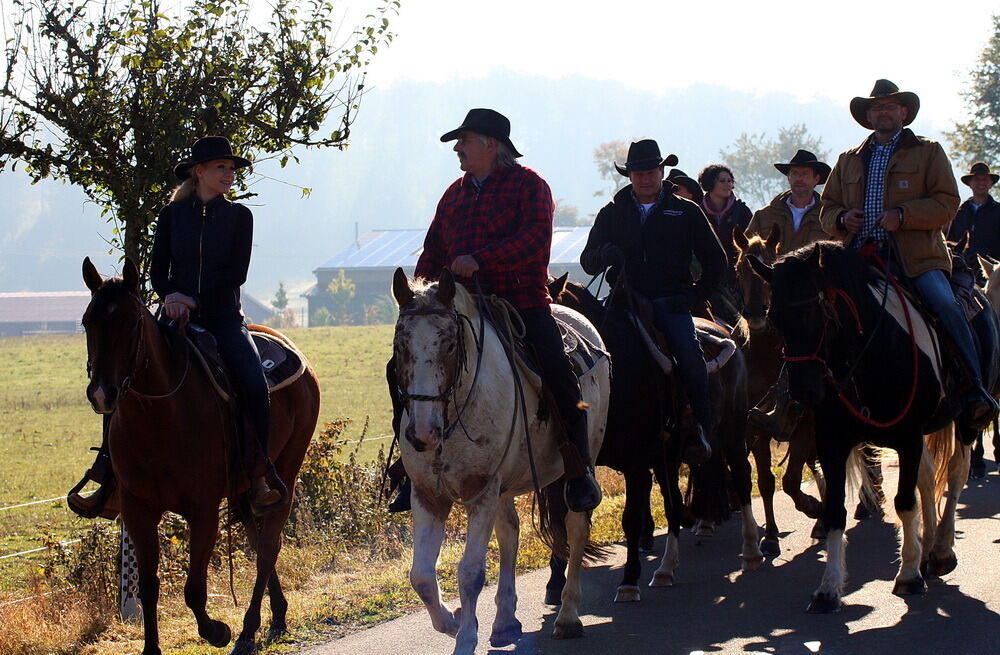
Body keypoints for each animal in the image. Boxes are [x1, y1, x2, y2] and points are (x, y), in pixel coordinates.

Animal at [81, 258, 320, 655]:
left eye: (130, 323)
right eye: (87, 321)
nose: (102, 394)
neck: (159, 419)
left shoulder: (203, 508)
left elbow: (194, 589)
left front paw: (218, 631)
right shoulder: (137, 508)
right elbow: (149, 585)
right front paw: (151, 649)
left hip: (286, 469)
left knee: (268, 546)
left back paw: (248, 631)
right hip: (243, 490)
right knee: (257, 540)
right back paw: (278, 614)